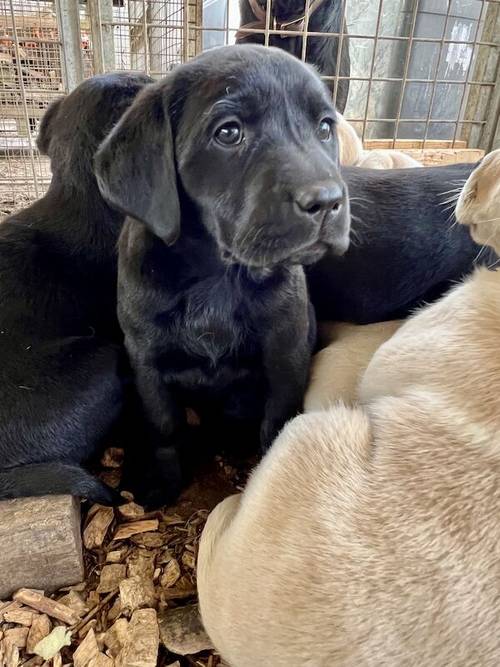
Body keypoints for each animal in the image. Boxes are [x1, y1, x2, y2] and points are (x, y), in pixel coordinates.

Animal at [94, 45, 352, 506]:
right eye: (229, 133)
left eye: (325, 127)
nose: (327, 200)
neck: (218, 275)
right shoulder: (146, 357)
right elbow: (164, 425)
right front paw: (162, 481)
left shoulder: (285, 354)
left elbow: (277, 422)